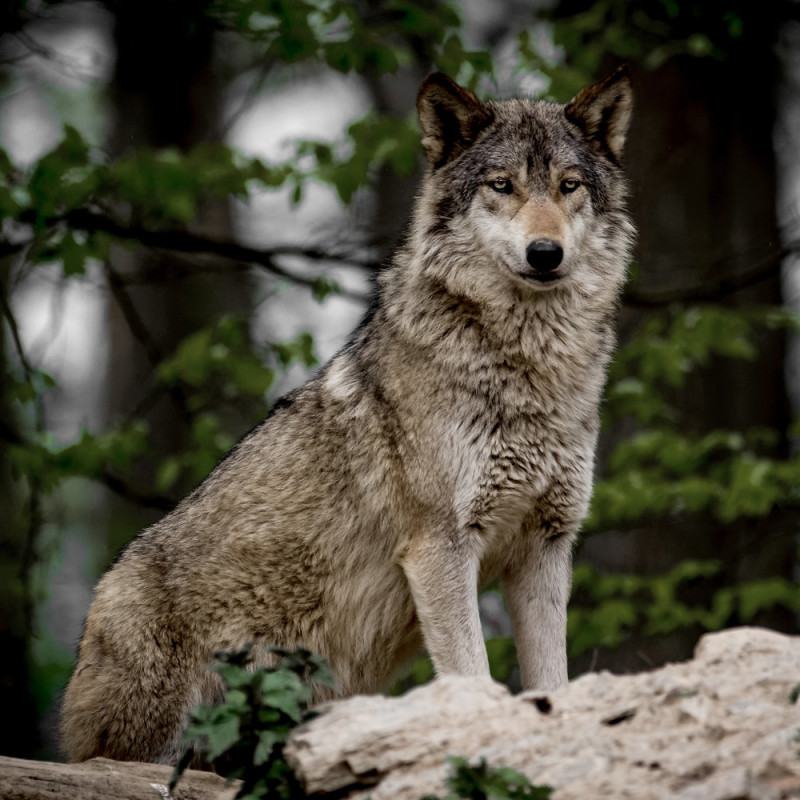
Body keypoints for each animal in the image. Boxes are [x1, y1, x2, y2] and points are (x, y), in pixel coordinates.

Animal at [61, 67, 634, 764]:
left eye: (568, 186)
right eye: (503, 186)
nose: (545, 252)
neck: (527, 370)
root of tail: (92, 613)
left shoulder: (545, 549)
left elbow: (553, 680)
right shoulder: (441, 548)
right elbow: (473, 677)